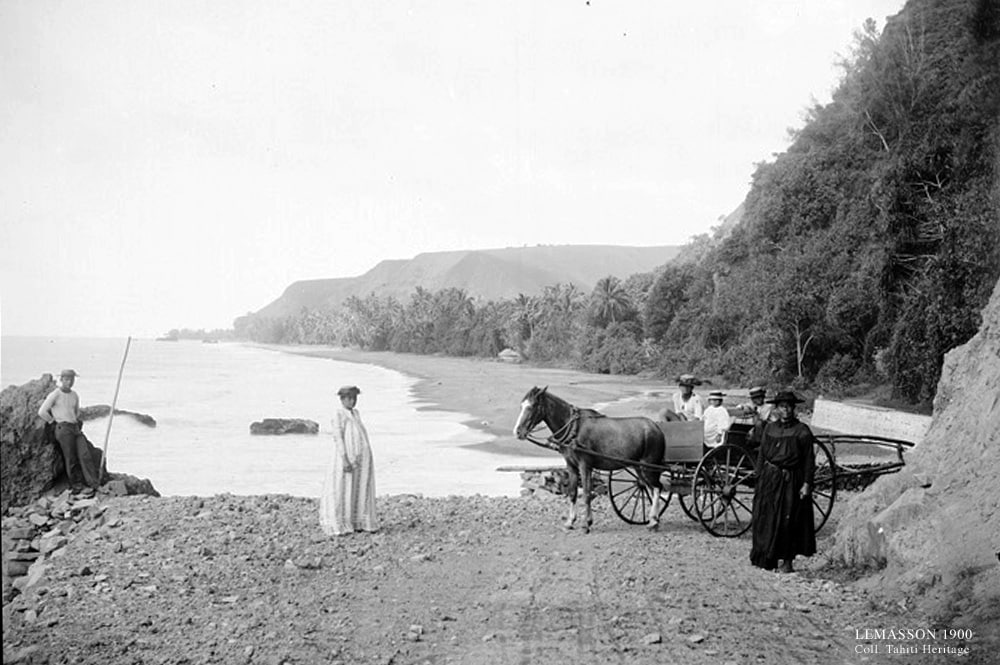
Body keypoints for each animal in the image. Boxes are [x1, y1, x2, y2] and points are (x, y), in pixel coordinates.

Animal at [512, 386, 668, 532]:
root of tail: (656, 427)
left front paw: (586, 523)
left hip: (648, 466)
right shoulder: (571, 466)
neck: (574, 428)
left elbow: (587, 494)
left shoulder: (585, 466)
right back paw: (653, 519)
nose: (517, 432)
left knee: (657, 488)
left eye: (532, 406)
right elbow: (573, 493)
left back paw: (654, 521)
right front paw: (570, 521)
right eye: (521, 406)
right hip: (639, 468)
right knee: (650, 488)